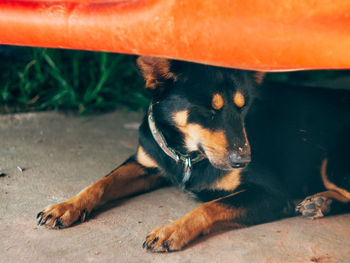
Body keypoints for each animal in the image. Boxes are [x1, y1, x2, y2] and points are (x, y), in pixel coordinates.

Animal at [36, 57, 350, 254]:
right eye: (209, 111)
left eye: (244, 107)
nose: (243, 161)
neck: (187, 154)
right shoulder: (145, 164)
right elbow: (101, 183)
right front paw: (66, 206)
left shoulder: (271, 195)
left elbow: (209, 206)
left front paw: (172, 230)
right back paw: (320, 202)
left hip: (334, 165)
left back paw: (321, 202)